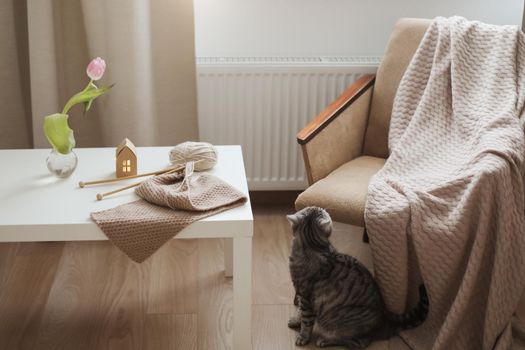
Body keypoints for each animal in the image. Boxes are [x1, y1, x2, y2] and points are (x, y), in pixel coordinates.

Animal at [288, 206, 428, 348]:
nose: (323, 208)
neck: (311, 246)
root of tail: (385, 319)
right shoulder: (300, 293)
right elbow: (299, 311)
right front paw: (296, 321)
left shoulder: (306, 296)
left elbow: (306, 321)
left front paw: (303, 337)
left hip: (339, 322)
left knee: (359, 342)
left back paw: (324, 341)